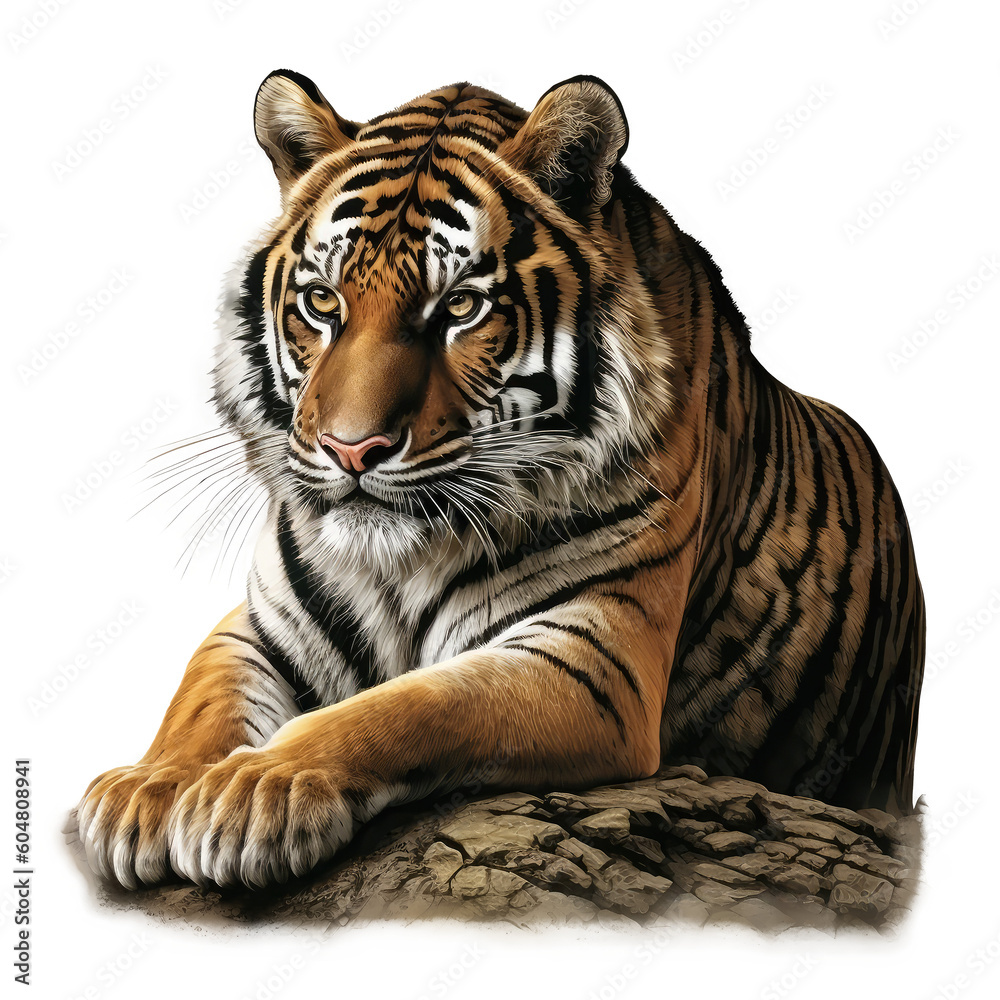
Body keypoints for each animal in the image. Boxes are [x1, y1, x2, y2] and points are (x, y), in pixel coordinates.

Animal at [74, 70, 925, 891]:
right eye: (322, 300)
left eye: (459, 307)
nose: (353, 450)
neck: (397, 563)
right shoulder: (259, 626)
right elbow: (202, 698)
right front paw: (146, 790)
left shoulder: (595, 656)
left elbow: (414, 704)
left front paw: (259, 789)